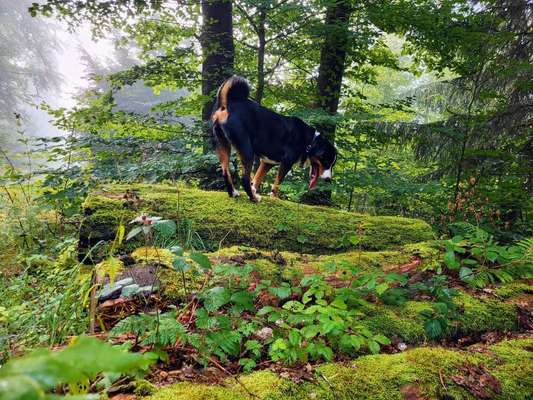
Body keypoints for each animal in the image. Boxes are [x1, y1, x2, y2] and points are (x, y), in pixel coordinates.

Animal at [210, 74, 334, 202]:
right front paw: (274, 197)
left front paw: (255, 190)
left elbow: (257, 179)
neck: (309, 141)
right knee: (245, 178)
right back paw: (253, 198)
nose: (328, 179)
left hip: (222, 144)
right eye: (326, 161)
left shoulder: (267, 162)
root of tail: (230, 104)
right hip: (246, 149)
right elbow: (277, 183)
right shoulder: (287, 161)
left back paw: (234, 193)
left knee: (225, 171)